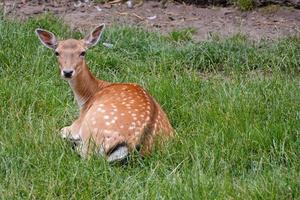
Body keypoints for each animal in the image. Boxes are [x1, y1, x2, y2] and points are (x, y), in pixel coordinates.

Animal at [34, 24, 173, 162]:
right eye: (57, 52)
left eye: (83, 52)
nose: (67, 72)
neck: (88, 96)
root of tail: (135, 145)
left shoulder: (77, 123)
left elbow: (61, 130)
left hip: (91, 130)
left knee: (86, 155)